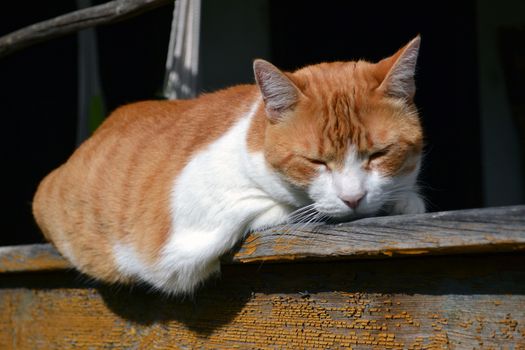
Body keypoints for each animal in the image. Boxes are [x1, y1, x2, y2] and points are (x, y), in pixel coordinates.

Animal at [32, 36, 424, 296]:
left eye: (378, 154)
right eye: (315, 161)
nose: (353, 198)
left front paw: (402, 200)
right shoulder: (192, 220)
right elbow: (291, 208)